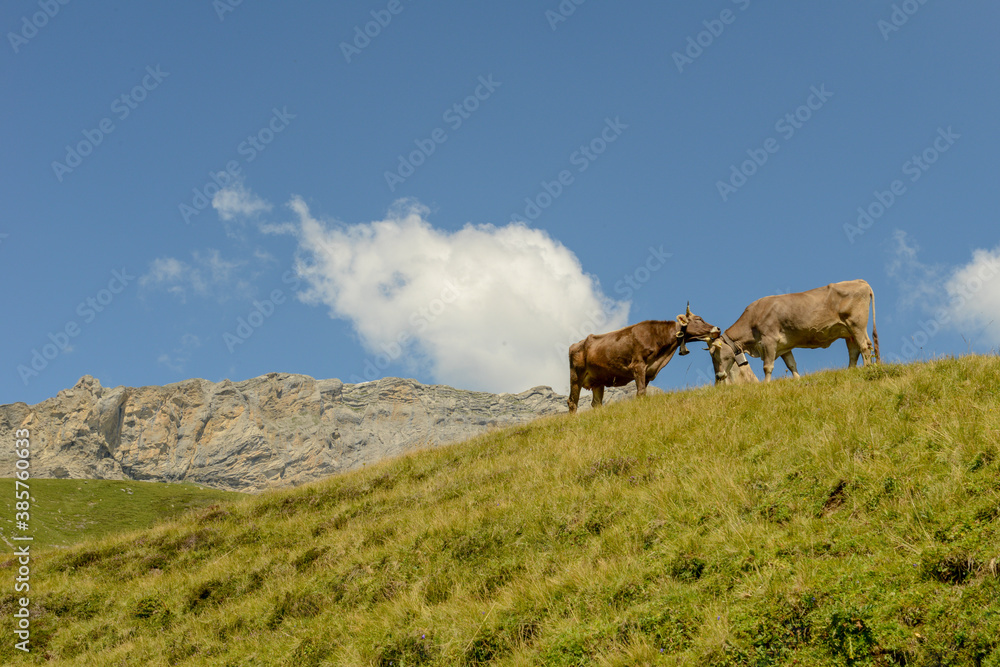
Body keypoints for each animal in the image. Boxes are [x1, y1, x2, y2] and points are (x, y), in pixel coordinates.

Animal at [568, 304, 724, 412]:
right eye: (699, 319)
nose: (717, 328)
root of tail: (577, 343)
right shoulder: (638, 366)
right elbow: (641, 391)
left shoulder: (649, 372)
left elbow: (643, 391)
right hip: (576, 376)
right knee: (572, 401)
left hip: (598, 380)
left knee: (596, 403)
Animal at [708, 280, 880, 384]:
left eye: (714, 353)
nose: (718, 376)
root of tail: (860, 281)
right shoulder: (784, 346)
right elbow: (791, 364)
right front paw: (798, 380)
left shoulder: (769, 341)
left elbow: (768, 366)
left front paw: (765, 384)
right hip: (848, 331)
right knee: (854, 350)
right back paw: (850, 371)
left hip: (857, 325)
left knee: (864, 346)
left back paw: (866, 368)